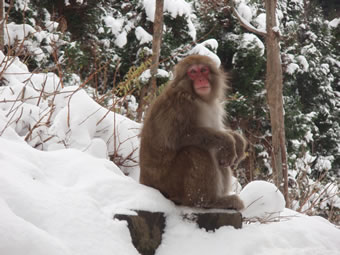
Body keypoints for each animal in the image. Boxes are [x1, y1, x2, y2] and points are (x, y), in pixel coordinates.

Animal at [139, 54, 247, 210]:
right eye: (193, 72)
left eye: (203, 70)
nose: (201, 79)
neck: (196, 96)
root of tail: (145, 183)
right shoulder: (180, 104)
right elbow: (175, 137)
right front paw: (227, 141)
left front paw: (237, 141)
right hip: (169, 185)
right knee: (195, 150)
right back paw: (208, 202)